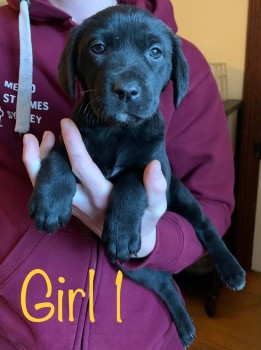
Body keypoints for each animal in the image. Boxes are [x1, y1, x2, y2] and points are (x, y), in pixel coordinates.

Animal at [29, 6, 245, 348]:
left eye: (155, 52)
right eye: (98, 48)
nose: (126, 91)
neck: (117, 131)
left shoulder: (153, 167)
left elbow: (131, 182)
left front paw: (121, 227)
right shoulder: (71, 137)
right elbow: (58, 158)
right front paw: (50, 203)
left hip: (181, 196)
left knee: (206, 227)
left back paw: (231, 270)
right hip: (128, 262)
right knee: (162, 279)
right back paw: (184, 324)